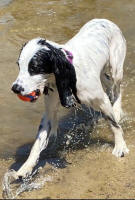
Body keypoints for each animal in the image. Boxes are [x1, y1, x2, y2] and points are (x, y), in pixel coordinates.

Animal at [11, 18, 129, 178]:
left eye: (34, 68)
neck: (68, 76)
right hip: (102, 74)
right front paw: (26, 167)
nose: (15, 88)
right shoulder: (49, 110)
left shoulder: (102, 100)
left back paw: (117, 110)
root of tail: (105, 20)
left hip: (116, 68)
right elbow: (38, 142)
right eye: (19, 65)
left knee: (116, 89)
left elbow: (114, 125)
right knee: (109, 83)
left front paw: (120, 146)